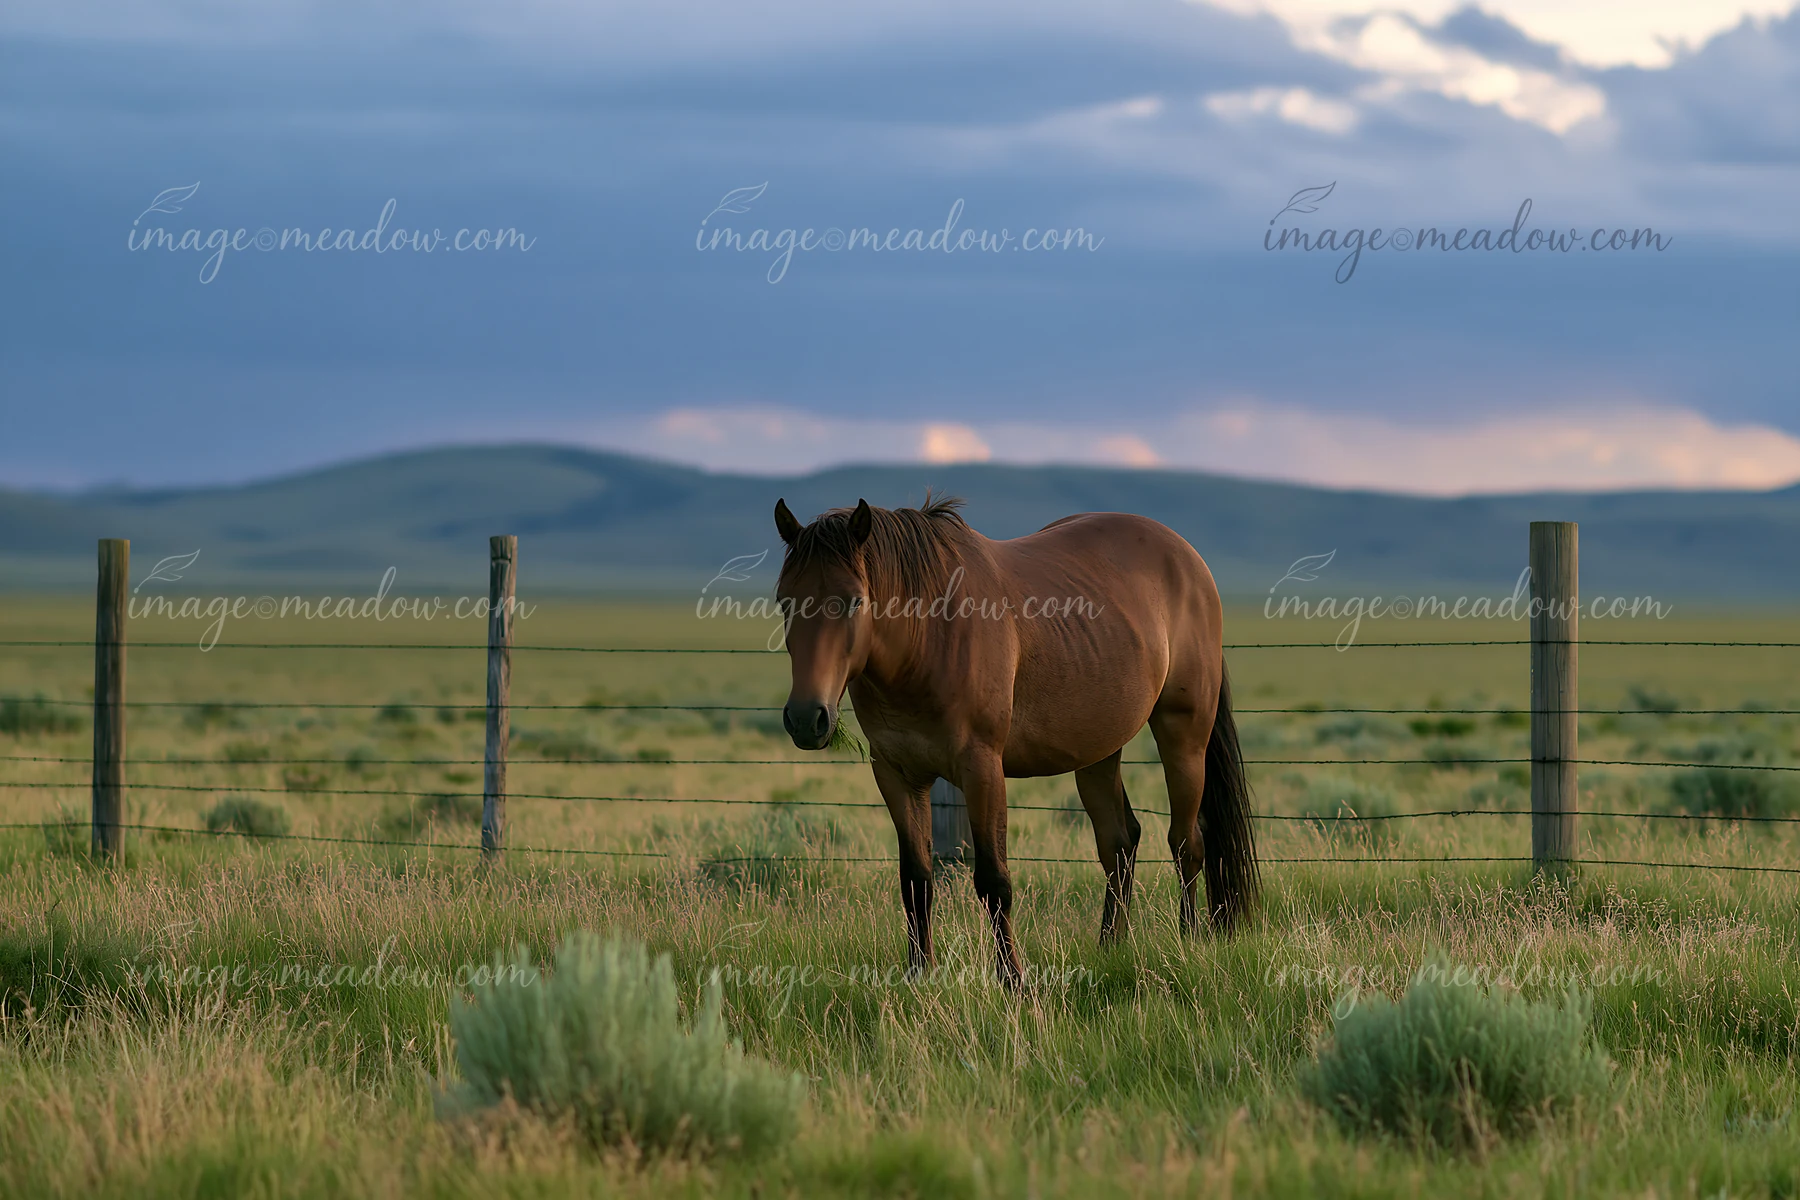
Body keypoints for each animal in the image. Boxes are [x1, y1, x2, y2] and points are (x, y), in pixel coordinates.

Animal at [772, 494, 1258, 984]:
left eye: (854, 601)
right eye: (784, 602)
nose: (806, 718)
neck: (930, 635)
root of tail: (1189, 559)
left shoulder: (982, 768)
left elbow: (993, 881)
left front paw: (1013, 981)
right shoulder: (896, 774)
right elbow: (915, 881)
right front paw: (918, 974)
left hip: (1184, 735)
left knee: (1187, 842)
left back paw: (1188, 941)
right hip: (1097, 751)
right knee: (1119, 843)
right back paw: (1110, 947)